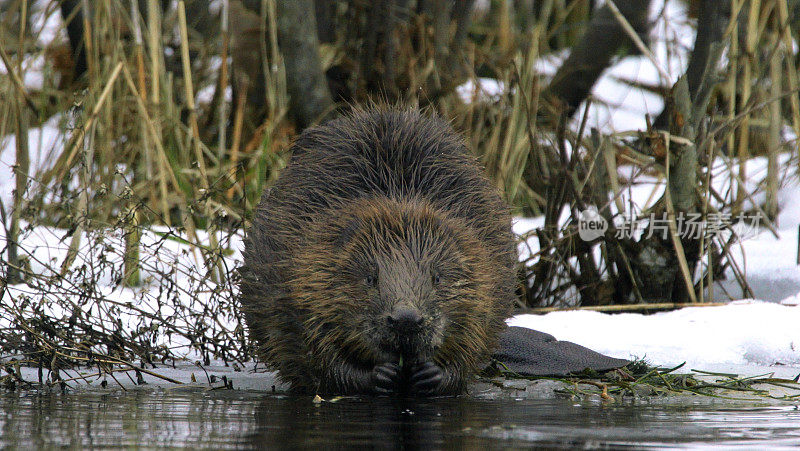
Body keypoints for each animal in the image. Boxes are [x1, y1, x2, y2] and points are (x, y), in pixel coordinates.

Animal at [239, 107, 520, 396]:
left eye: (437, 277)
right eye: (370, 278)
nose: (406, 319)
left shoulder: (485, 266)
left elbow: (475, 338)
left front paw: (431, 374)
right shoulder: (300, 271)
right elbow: (315, 352)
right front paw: (379, 375)